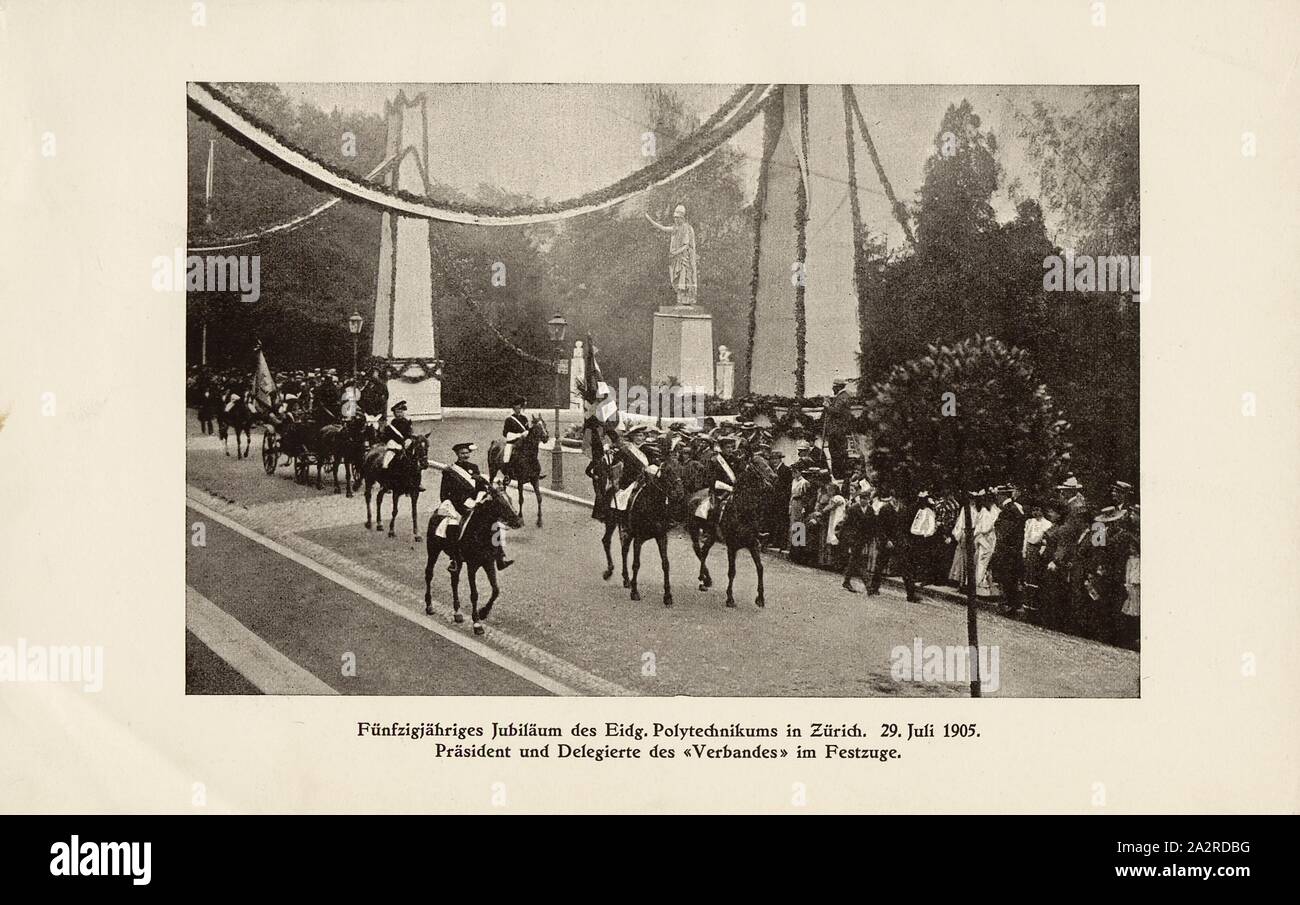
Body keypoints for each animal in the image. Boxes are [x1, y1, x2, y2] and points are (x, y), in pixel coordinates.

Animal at [421, 483, 522, 631]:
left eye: (510, 499)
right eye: (500, 502)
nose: (518, 521)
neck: (481, 533)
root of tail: (437, 511)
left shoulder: (488, 563)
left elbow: (496, 590)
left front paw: (484, 612)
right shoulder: (472, 566)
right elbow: (474, 594)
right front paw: (477, 622)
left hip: (457, 560)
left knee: (454, 580)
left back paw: (457, 612)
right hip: (433, 550)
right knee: (429, 574)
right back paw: (429, 605)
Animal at [598, 465, 681, 608]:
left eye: (679, 469)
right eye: (667, 471)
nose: (679, 492)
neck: (652, 505)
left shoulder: (661, 537)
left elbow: (665, 564)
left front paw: (668, 596)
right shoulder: (639, 538)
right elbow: (636, 564)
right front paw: (635, 592)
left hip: (628, 531)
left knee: (624, 550)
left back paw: (626, 579)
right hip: (611, 522)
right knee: (606, 541)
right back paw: (609, 571)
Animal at [691, 460, 769, 608]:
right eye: (758, 465)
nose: (770, 483)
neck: (743, 514)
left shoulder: (752, 544)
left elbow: (760, 568)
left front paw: (760, 598)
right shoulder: (732, 547)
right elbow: (732, 572)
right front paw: (730, 598)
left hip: (712, 535)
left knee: (704, 551)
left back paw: (705, 580)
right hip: (694, 530)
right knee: (698, 550)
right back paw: (703, 578)